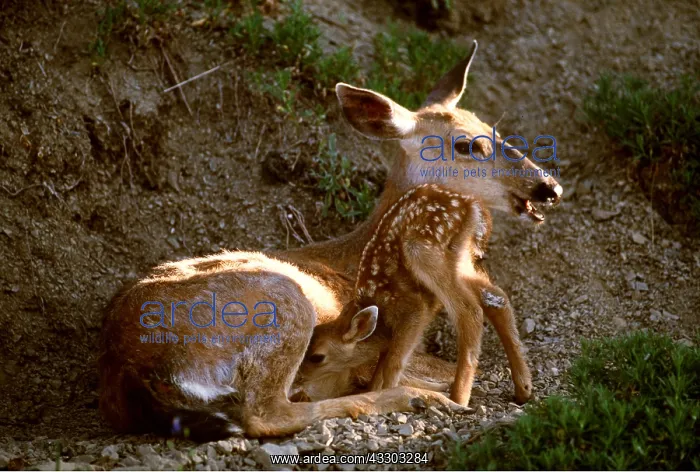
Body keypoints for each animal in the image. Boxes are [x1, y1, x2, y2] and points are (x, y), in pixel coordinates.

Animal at [293, 184, 528, 408]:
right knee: (496, 296)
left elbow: (393, 363)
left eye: (317, 357)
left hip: (424, 249)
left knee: (469, 310)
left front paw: (385, 393)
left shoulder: (412, 311)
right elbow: (381, 365)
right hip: (464, 260)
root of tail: (476, 209)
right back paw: (523, 389)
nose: (298, 379)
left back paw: (459, 398)